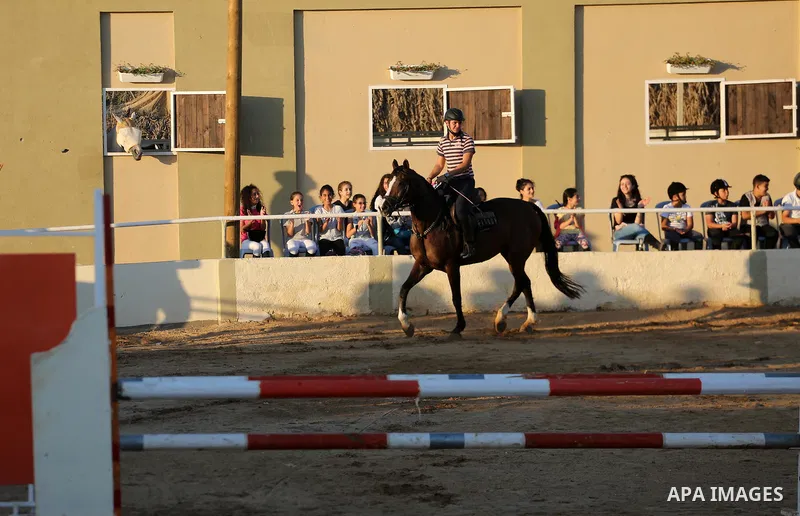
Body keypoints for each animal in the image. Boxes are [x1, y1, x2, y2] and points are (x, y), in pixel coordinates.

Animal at [378, 159, 584, 337]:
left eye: (402, 183)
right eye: (389, 182)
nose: (384, 207)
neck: (431, 223)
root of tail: (528, 207)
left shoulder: (452, 265)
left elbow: (456, 296)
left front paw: (458, 327)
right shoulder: (423, 265)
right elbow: (404, 288)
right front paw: (406, 325)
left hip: (516, 256)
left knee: (522, 282)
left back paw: (507, 320)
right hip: (511, 256)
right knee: (524, 283)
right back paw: (524, 322)